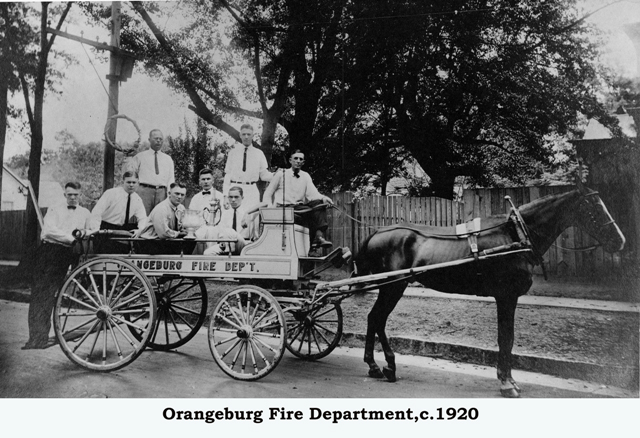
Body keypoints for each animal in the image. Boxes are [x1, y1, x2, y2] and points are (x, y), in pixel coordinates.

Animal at [356, 183, 624, 398]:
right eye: (592, 206)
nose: (619, 241)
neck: (515, 234)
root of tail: (377, 232)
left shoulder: (508, 297)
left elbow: (508, 339)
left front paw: (508, 379)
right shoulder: (506, 296)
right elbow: (505, 338)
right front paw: (507, 384)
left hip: (390, 288)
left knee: (374, 319)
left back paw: (378, 366)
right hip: (393, 287)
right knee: (377, 318)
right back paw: (383, 365)